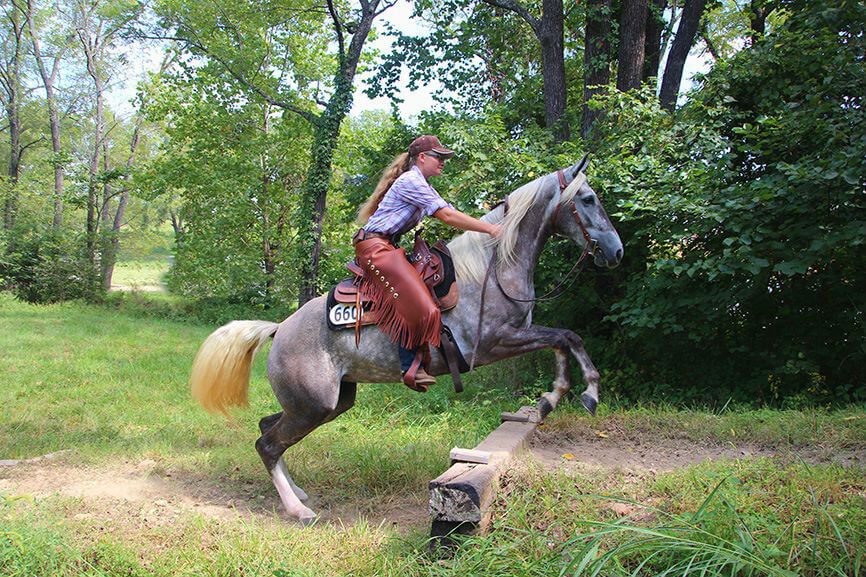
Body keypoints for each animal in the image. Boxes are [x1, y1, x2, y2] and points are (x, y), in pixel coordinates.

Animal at [189, 158, 620, 520]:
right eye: (588, 198)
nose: (616, 251)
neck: (493, 266)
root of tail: (279, 329)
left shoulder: (515, 336)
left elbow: (563, 340)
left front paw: (552, 398)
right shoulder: (494, 343)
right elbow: (567, 336)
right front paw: (588, 392)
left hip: (328, 403)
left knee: (267, 430)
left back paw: (297, 493)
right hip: (313, 405)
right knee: (267, 444)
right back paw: (299, 510)